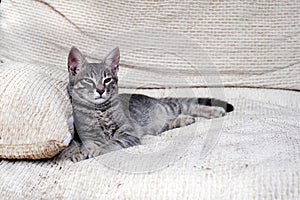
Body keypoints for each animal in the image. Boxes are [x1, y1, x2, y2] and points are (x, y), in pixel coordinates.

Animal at [59, 47, 234, 162]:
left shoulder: (128, 133)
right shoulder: (88, 137)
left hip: (168, 107)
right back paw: (184, 120)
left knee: (188, 105)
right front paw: (80, 153)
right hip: (158, 124)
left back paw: (214, 111)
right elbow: (86, 146)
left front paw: (99, 149)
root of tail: (155, 100)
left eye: (107, 79)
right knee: (169, 122)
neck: (100, 112)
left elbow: (111, 143)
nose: (101, 90)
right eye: (89, 81)